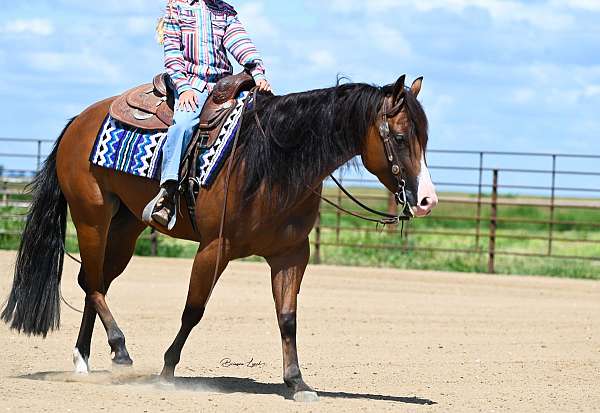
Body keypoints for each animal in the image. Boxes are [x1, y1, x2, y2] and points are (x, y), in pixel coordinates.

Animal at [2, 73, 438, 400]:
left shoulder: (292, 254)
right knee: (91, 282)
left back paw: (84, 359)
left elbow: (288, 317)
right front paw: (167, 370)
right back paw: (119, 349)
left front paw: (298, 382)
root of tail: (79, 120)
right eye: (401, 138)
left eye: (426, 138)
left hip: (126, 227)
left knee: (96, 282)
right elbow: (193, 310)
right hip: (92, 217)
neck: (271, 161)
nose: (427, 200)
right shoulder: (216, 247)